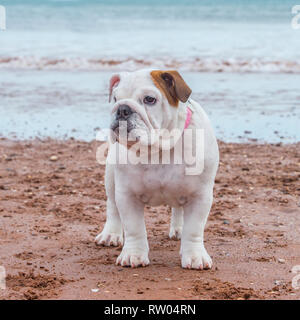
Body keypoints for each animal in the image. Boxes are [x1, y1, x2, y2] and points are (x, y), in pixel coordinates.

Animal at [95, 69, 219, 268]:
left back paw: (179, 229)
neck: (159, 149)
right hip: (111, 177)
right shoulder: (127, 196)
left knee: (179, 209)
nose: (122, 109)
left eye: (149, 99)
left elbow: (194, 229)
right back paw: (110, 234)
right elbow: (134, 228)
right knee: (112, 205)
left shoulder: (200, 196)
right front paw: (134, 255)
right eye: (115, 98)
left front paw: (194, 256)